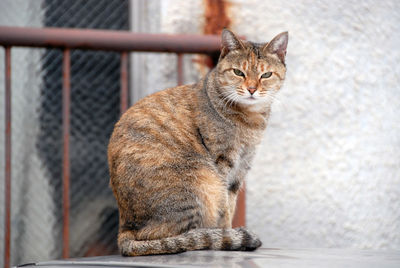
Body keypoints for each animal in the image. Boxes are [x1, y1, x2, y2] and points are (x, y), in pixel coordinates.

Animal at [107, 28, 288, 255]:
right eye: (238, 72)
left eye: (266, 75)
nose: (252, 89)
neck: (250, 120)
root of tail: (125, 230)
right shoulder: (223, 164)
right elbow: (225, 209)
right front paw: (227, 235)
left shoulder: (240, 169)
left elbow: (230, 204)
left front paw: (228, 232)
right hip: (200, 181)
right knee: (176, 237)